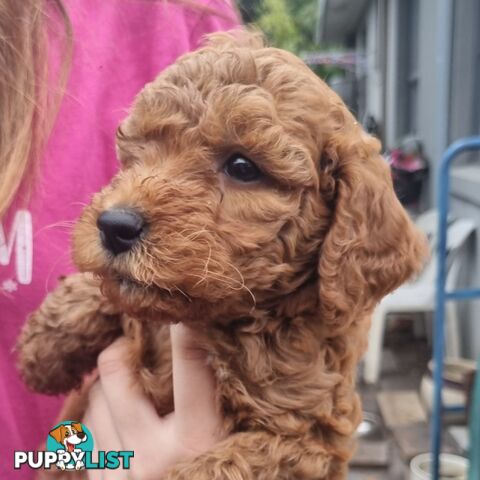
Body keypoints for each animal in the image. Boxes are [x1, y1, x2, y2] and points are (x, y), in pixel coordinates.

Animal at [17, 31, 428, 480]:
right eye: (138, 154)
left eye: (242, 166)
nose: (113, 225)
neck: (236, 322)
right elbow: (107, 289)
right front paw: (44, 349)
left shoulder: (310, 440)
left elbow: (217, 467)